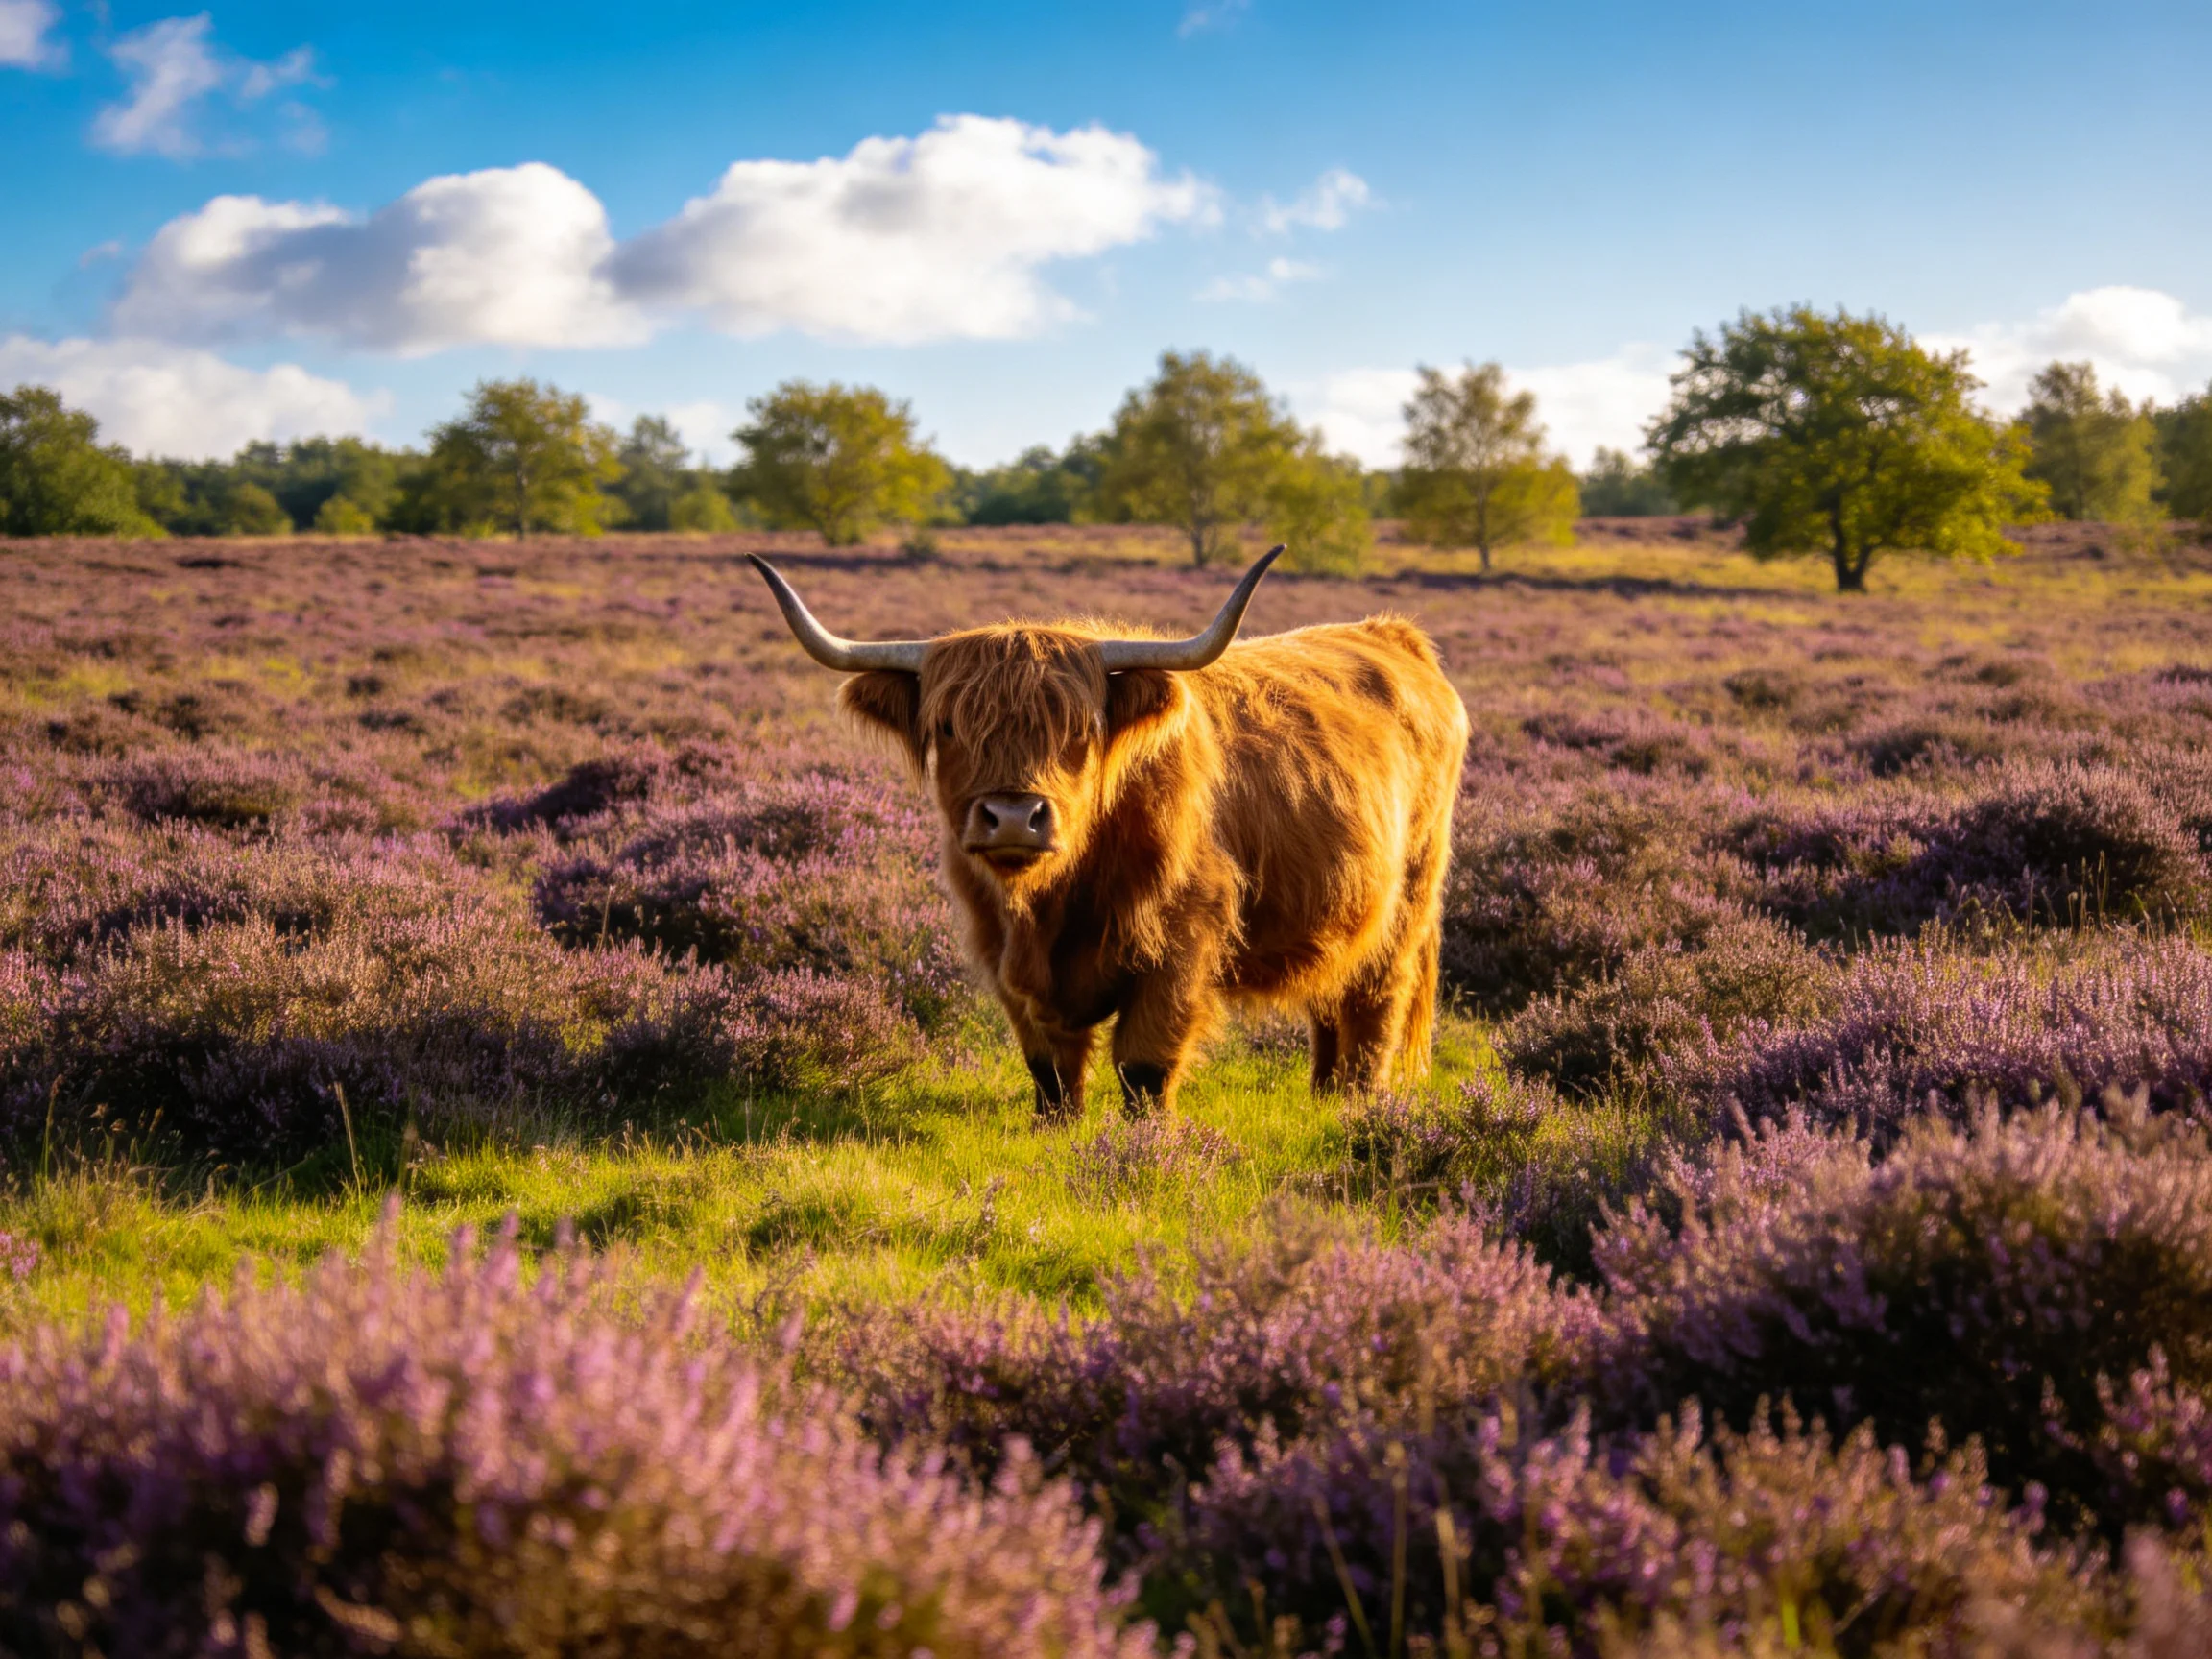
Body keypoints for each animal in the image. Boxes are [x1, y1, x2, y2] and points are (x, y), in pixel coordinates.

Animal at [748, 547, 1469, 1118]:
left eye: (1078, 729)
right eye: (949, 726)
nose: (1014, 817)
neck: (1054, 901)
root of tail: (1393, 635)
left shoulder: (1182, 943)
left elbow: (1143, 1067)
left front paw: (1146, 1144)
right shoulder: (1001, 952)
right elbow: (1050, 1071)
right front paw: (1058, 1131)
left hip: (1408, 901)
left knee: (1375, 1003)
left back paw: (1358, 1104)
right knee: (1330, 1001)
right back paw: (1323, 1096)